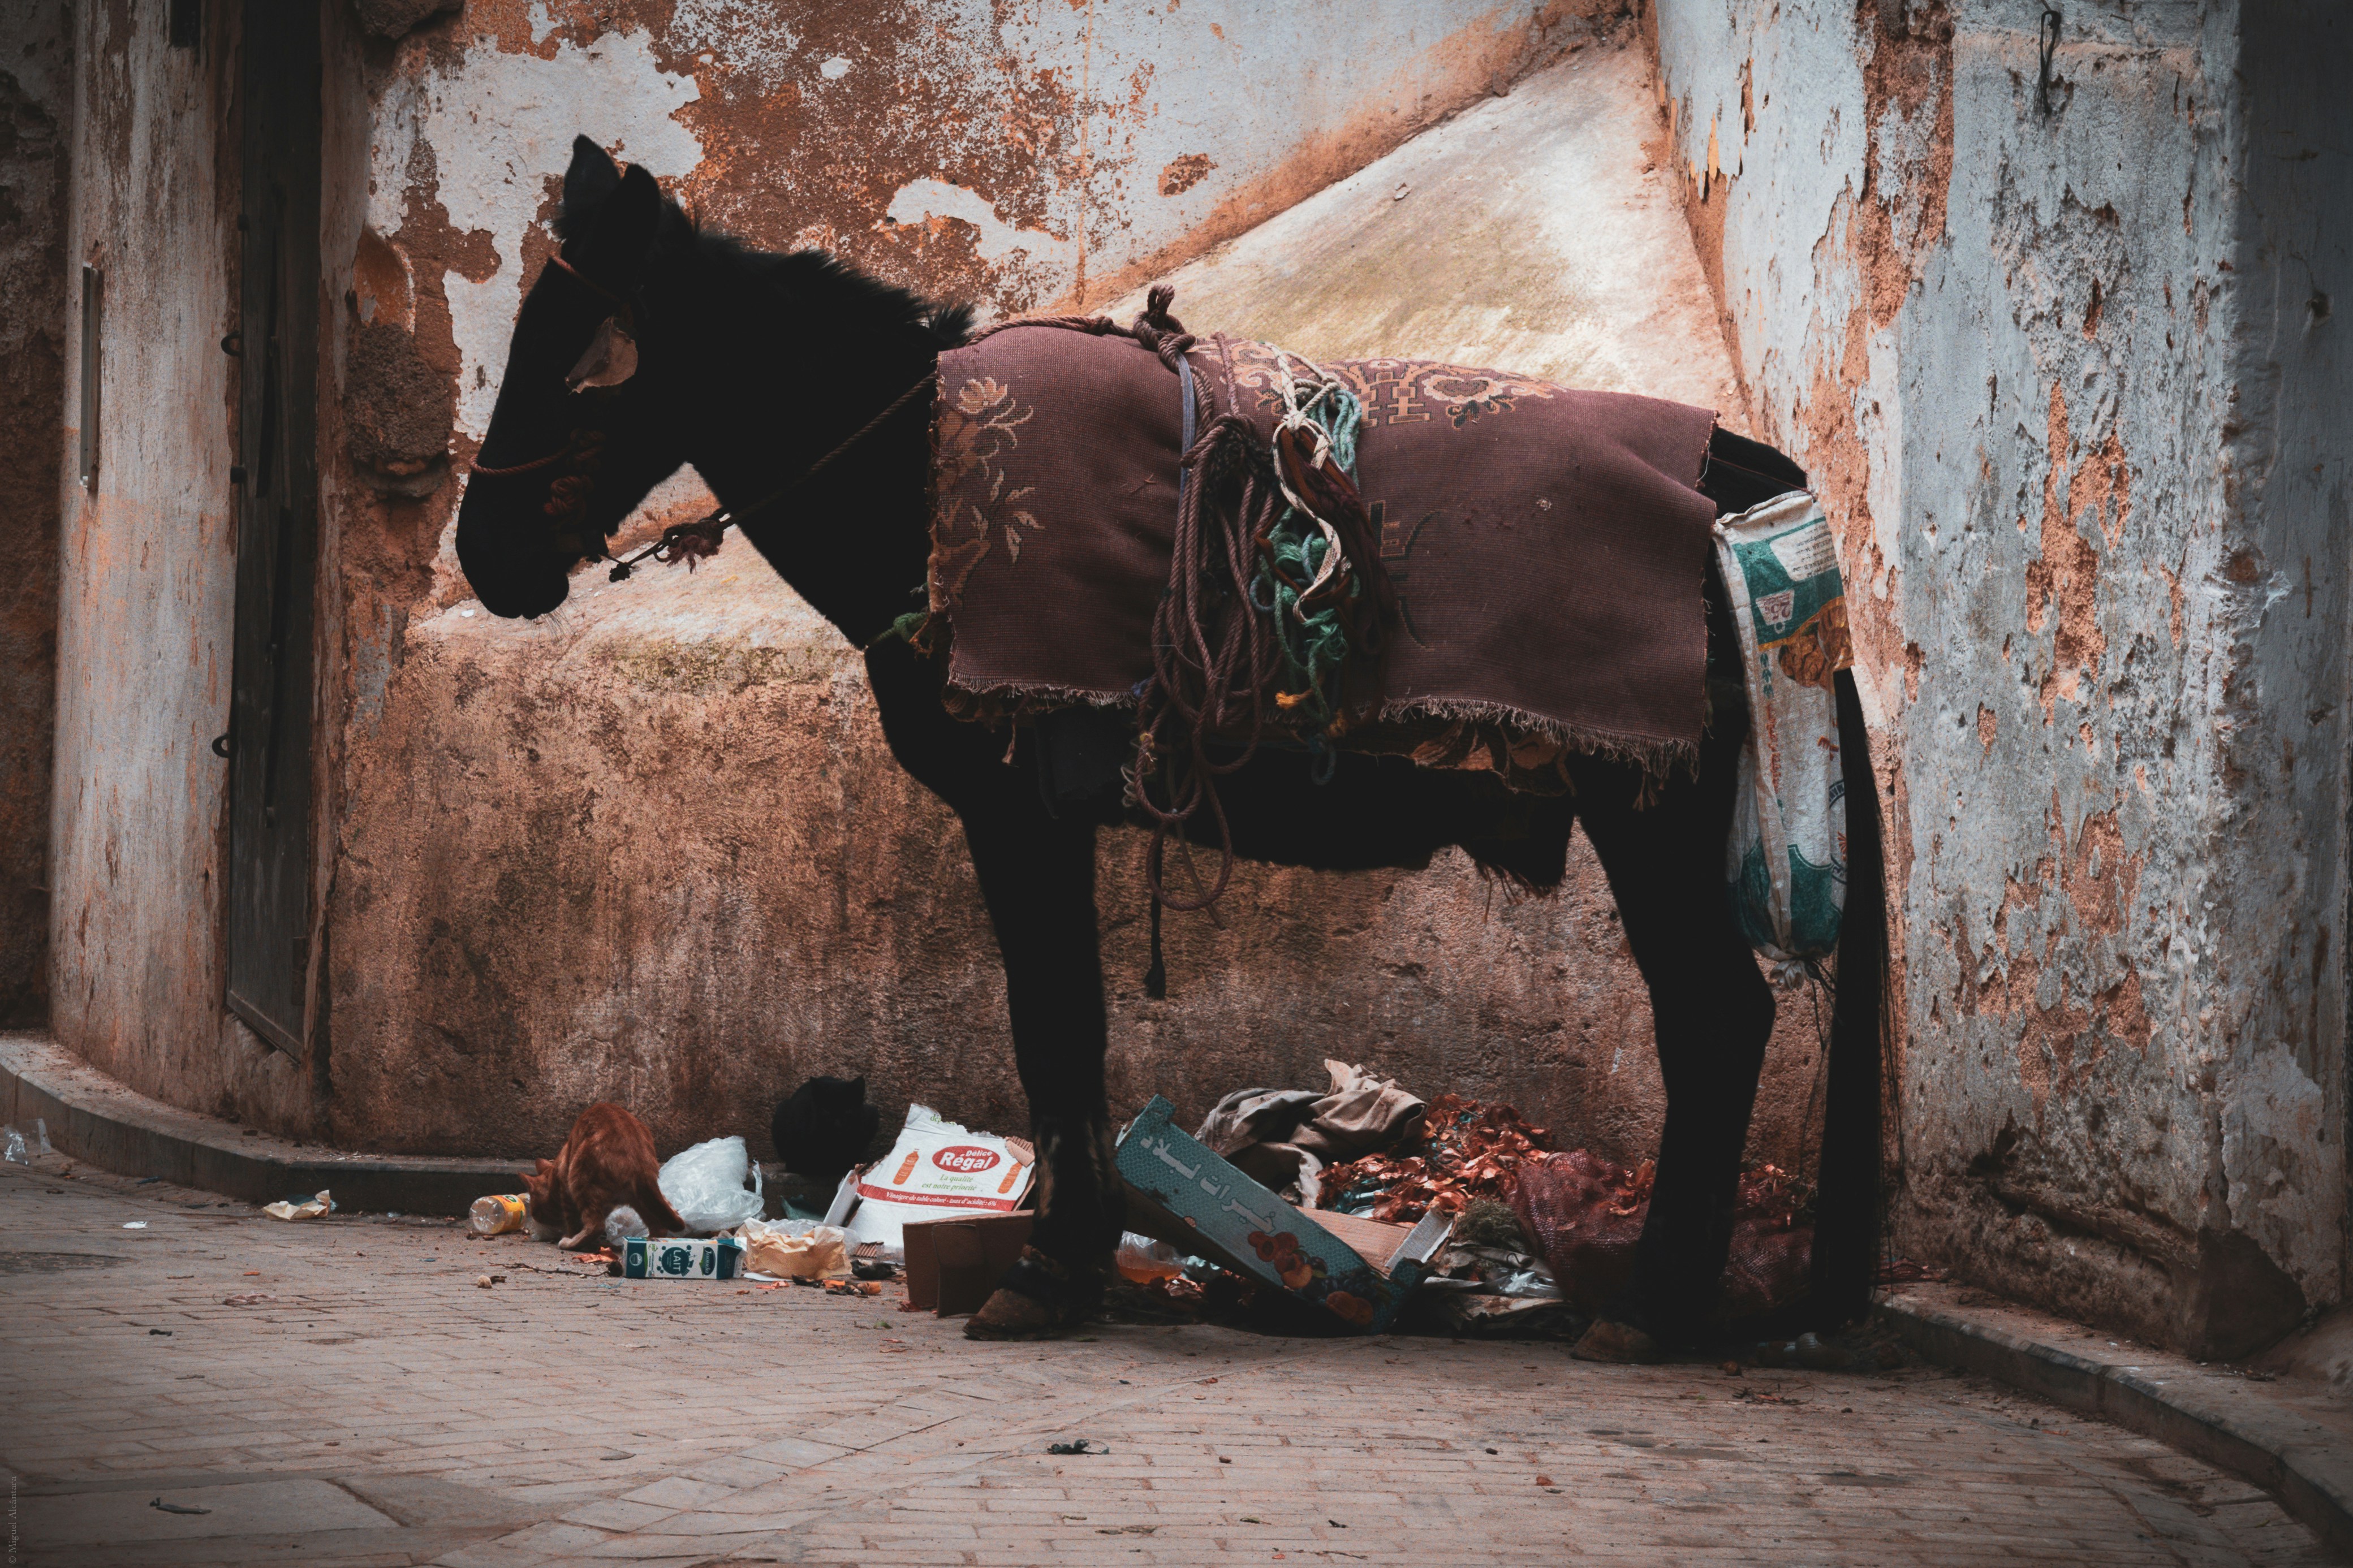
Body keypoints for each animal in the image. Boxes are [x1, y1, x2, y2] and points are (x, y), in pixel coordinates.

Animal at [454, 137, 1887, 1354]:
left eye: (572, 353)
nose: (481, 556)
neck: (927, 477)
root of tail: (1732, 470)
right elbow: (1070, 1033)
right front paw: (1073, 1257)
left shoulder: (1018, 812)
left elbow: (1052, 1028)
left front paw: (1051, 1270)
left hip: (1651, 816)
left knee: (1715, 1020)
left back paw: (1655, 1307)